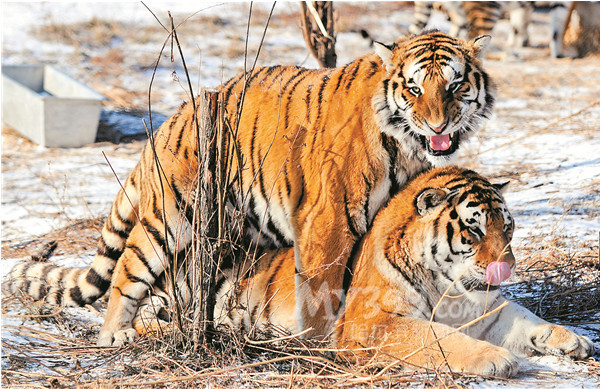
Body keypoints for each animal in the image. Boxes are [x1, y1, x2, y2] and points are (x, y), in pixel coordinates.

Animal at [205, 167, 592, 376]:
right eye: (475, 229)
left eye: (507, 228)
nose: (508, 267)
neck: (448, 290)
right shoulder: (374, 321)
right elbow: (436, 337)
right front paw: (495, 358)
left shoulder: (485, 313)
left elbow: (525, 319)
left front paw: (572, 338)